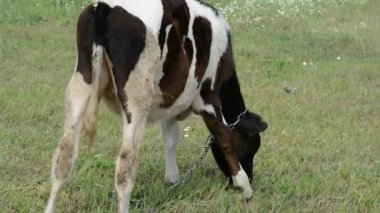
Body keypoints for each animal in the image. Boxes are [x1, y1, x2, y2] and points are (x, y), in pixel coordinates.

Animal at [46, 0, 268, 212]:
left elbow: (171, 137)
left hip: (79, 87)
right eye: (252, 146)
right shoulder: (208, 96)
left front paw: (172, 178)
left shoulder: (170, 103)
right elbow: (224, 137)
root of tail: (105, 6)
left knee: (63, 158)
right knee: (125, 167)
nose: (250, 174)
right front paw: (245, 187)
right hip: (137, 100)